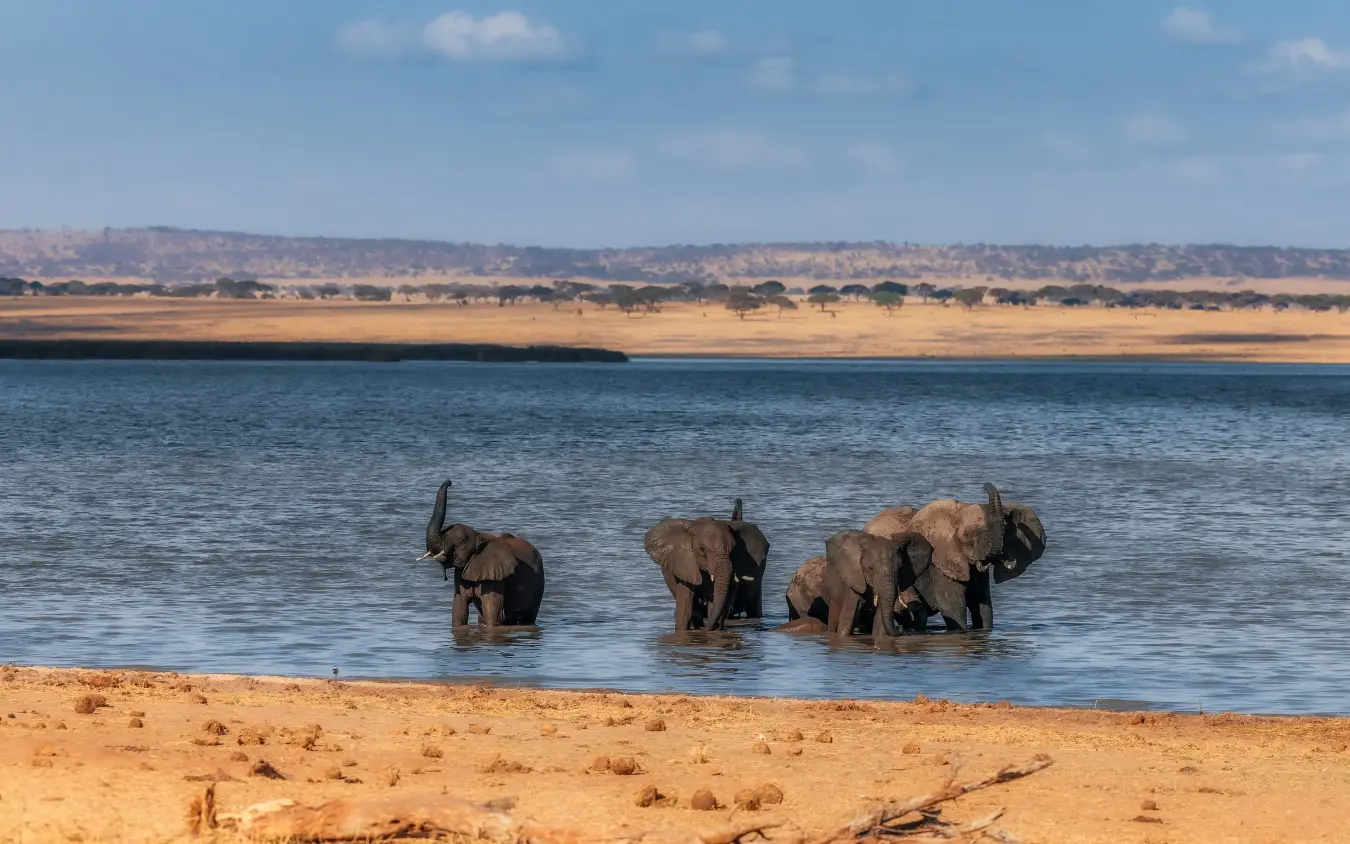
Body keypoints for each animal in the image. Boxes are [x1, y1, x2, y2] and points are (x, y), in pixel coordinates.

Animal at [419, 480, 545, 628]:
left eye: (460, 541)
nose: (449, 481)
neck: (479, 536)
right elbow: (459, 611)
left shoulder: (495, 576)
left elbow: (492, 613)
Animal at [785, 531, 933, 636]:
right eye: (870, 569)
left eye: (900, 568)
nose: (901, 629)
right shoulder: (853, 578)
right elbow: (848, 615)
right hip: (800, 598)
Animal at [864, 484, 1046, 632]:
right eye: (967, 535)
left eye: (1006, 529)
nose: (984, 485)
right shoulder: (938, 563)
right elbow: (953, 607)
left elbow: (983, 607)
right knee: (917, 613)